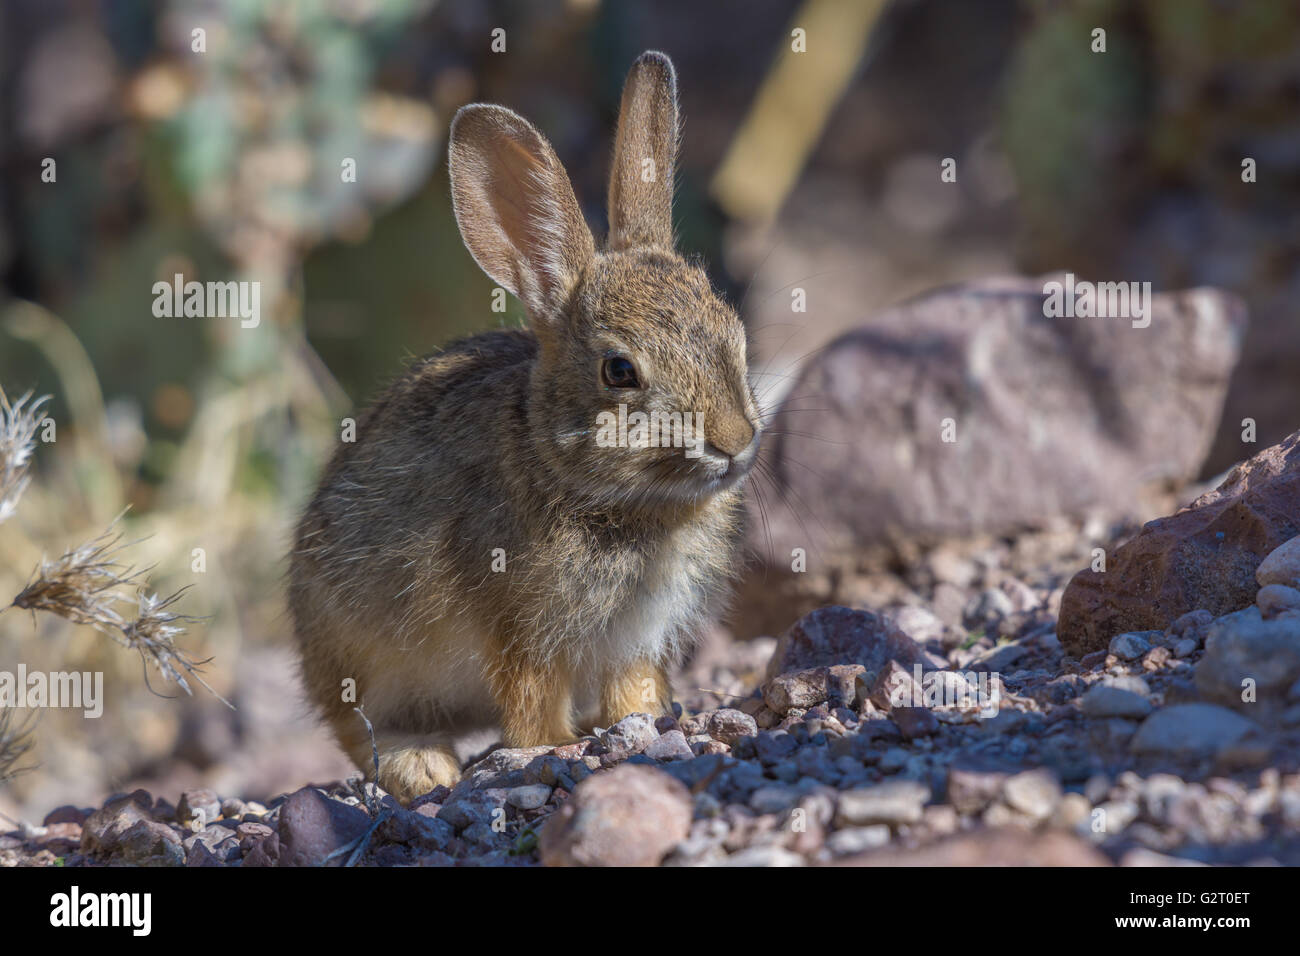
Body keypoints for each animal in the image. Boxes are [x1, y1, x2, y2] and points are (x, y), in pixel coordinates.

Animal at [287, 50, 759, 801]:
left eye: (733, 332)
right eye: (619, 371)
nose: (736, 443)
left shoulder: (636, 636)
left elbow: (630, 688)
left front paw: (644, 720)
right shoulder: (521, 628)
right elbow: (531, 699)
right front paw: (553, 747)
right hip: (357, 652)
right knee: (360, 729)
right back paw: (422, 766)